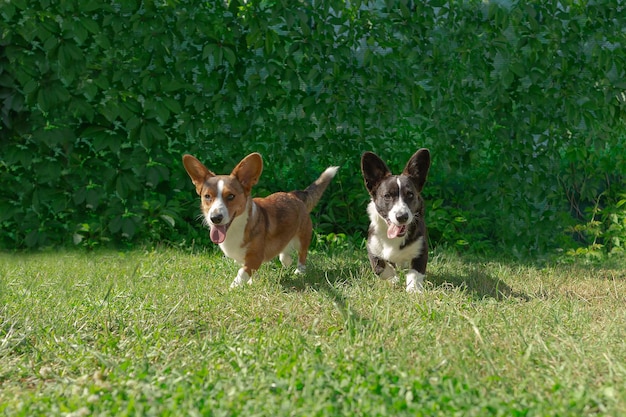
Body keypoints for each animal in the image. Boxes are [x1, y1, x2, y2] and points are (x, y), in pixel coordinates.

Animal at [182, 152, 336, 286]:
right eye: (207, 196)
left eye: (231, 196)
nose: (215, 218)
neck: (235, 228)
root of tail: (295, 195)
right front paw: (251, 283)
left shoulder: (255, 258)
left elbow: (241, 273)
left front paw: (233, 287)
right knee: (284, 252)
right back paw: (286, 261)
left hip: (302, 237)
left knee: (302, 254)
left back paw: (299, 271)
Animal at [360, 150, 428, 292]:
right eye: (387, 196)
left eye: (410, 194)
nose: (402, 217)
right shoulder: (371, 248)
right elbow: (380, 267)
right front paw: (393, 280)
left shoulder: (421, 251)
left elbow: (415, 273)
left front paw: (413, 290)